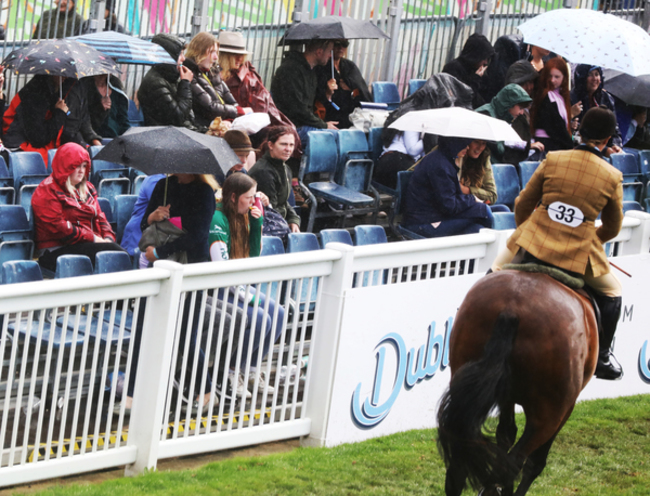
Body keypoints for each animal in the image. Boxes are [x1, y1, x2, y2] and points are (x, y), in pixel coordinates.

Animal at [436, 270, 596, 494]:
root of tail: (511, 310)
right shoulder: (567, 407)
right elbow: (533, 462)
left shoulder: (506, 397)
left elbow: (506, 434)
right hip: (548, 415)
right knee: (514, 464)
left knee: (459, 470)